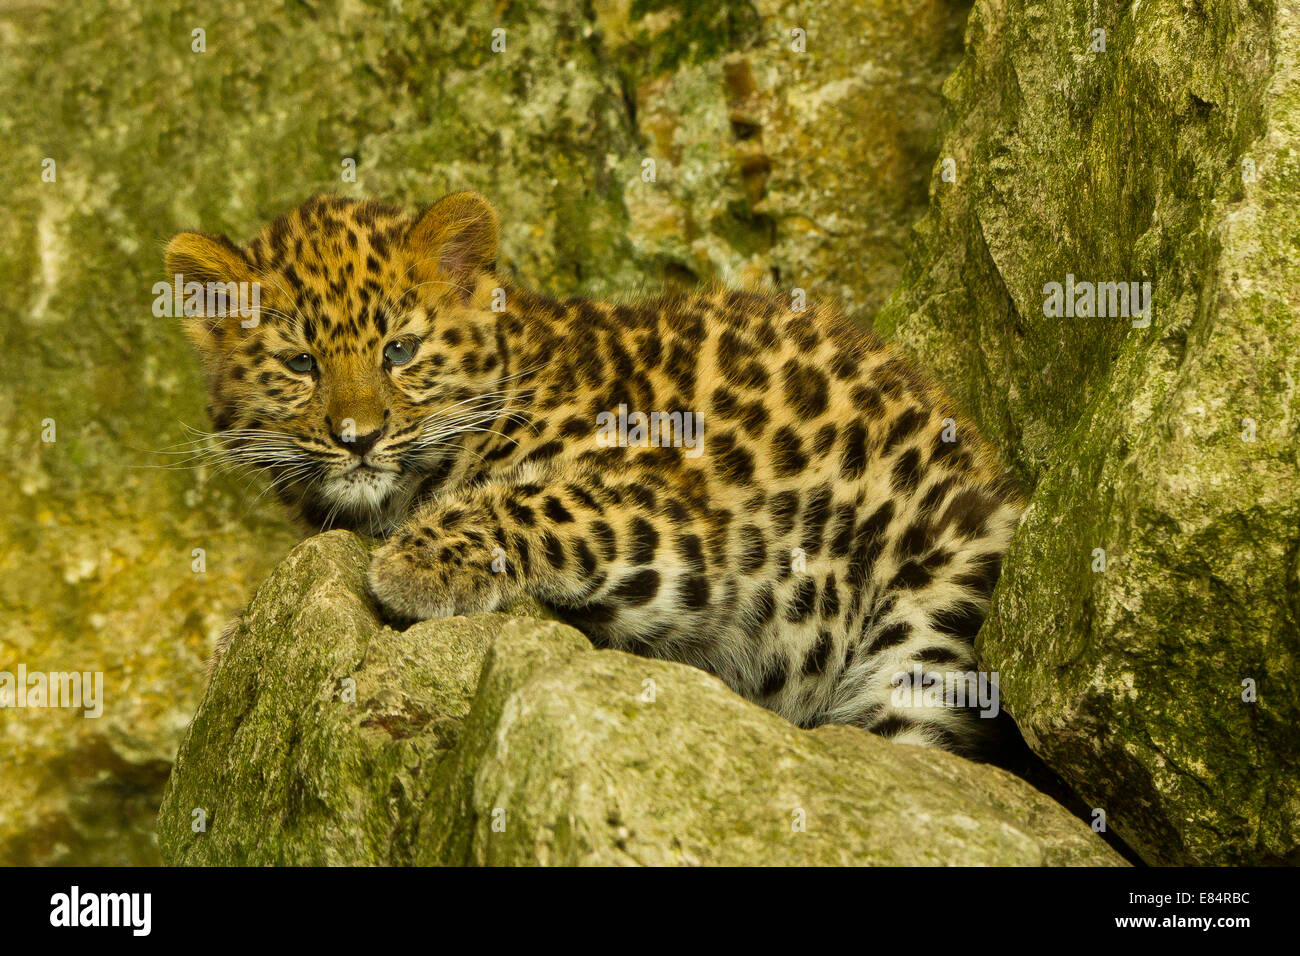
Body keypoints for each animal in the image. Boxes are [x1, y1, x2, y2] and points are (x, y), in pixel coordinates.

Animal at [166, 191, 1025, 757]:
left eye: (399, 351)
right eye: (300, 365)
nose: (358, 438)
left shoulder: (683, 512)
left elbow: (543, 501)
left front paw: (414, 560)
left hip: (934, 612)